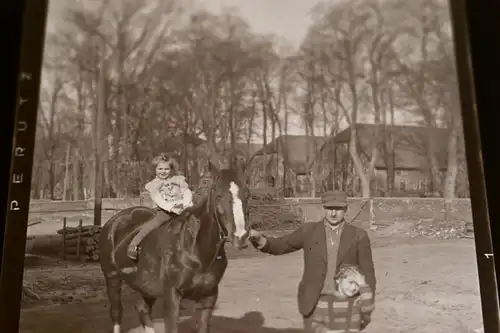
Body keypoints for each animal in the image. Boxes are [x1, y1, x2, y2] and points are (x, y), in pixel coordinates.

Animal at [98, 161, 250, 332]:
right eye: (218, 196)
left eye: (247, 194)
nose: (240, 236)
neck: (195, 250)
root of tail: (113, 222)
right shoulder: (172, 295)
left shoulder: (208, 297)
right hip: (112, 278)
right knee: (116, 312)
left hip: (145, 285)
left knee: (142, 308)